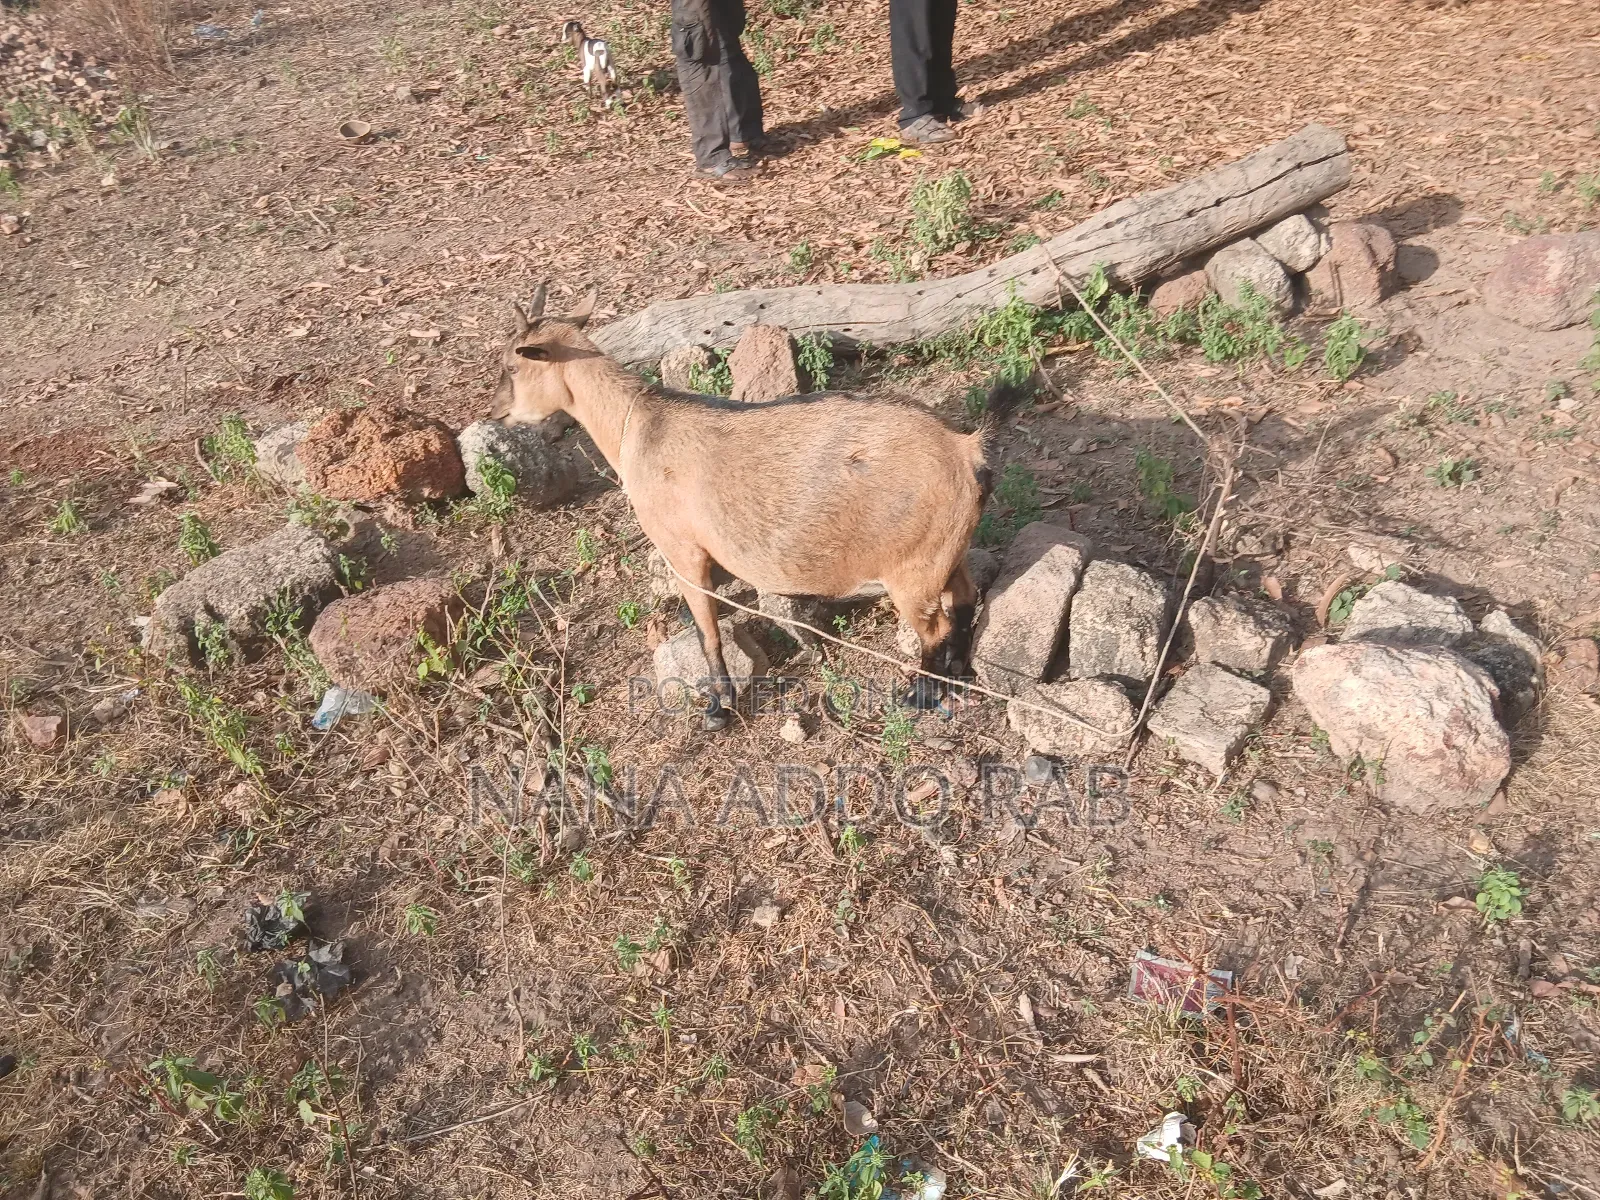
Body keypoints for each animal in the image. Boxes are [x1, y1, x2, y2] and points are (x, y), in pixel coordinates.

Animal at [491, 286, 1020, 730]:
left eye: (512, 367)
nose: (496, 411)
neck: (639, 426)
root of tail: (966, 449)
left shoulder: (682, 549)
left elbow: (707, 630)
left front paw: (717, 708)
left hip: (911, 570)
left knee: (934, 627)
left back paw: (919, 695)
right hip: (945, 553)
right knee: (965, 599)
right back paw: (958, 671)